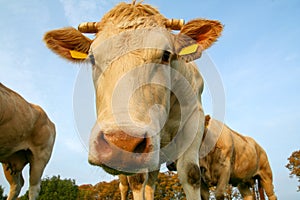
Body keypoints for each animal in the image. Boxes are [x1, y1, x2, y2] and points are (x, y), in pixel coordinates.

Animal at [43, 0, 223, 199]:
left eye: (166, 55)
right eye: (92, 58)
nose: (122, 141)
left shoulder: (194, 118)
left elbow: (190, 173)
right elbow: (136, 180)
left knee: (151, 182)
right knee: (126, 184)